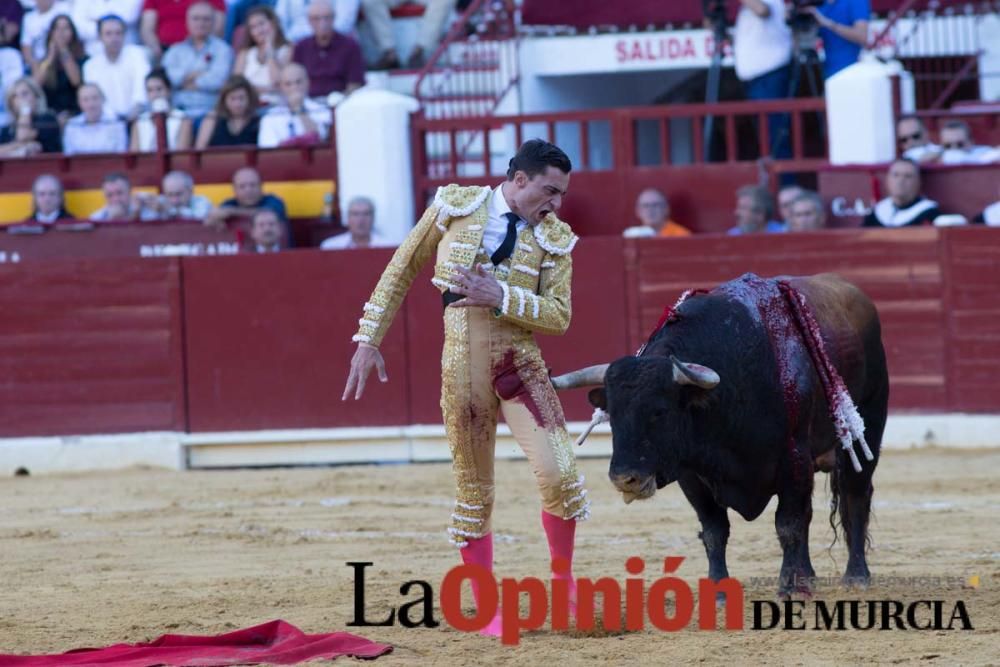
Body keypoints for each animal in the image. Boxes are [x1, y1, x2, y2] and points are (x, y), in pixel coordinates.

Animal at [552, 274, 888, 596]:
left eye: (660, 411)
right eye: (612, 413)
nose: (625, 479)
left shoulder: (794, 460)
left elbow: (788, 524)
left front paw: (789, 586)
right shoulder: (691, 474)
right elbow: (715, 531)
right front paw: (718, 588)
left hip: (869, 426)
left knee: (855, 495)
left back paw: (856, 575)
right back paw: (809, 575)